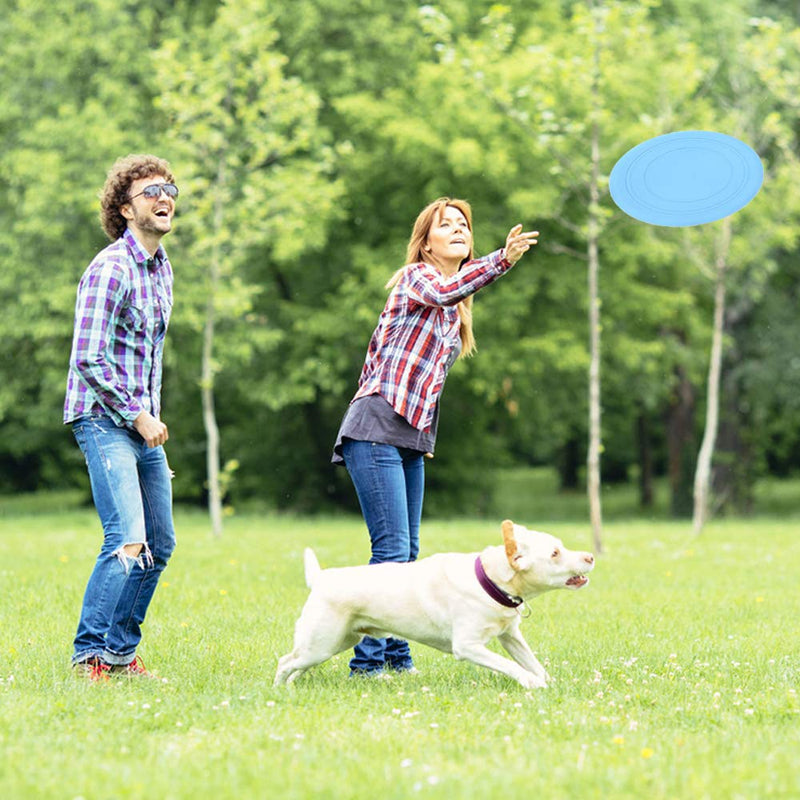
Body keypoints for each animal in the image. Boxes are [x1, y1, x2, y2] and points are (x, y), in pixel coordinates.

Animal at [276, 520, 592, 688]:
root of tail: (321, 579)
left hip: (334, 642)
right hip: (322, 642)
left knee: (296, 664)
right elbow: (511, 665)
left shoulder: (510, 636)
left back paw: (291, 686)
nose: (590, 556)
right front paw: (532, 683)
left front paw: (551, 683)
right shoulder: (467, 646)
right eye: (554, 553)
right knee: (285, 662)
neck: (490, 580)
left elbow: (533, 662)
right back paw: (279, 690)